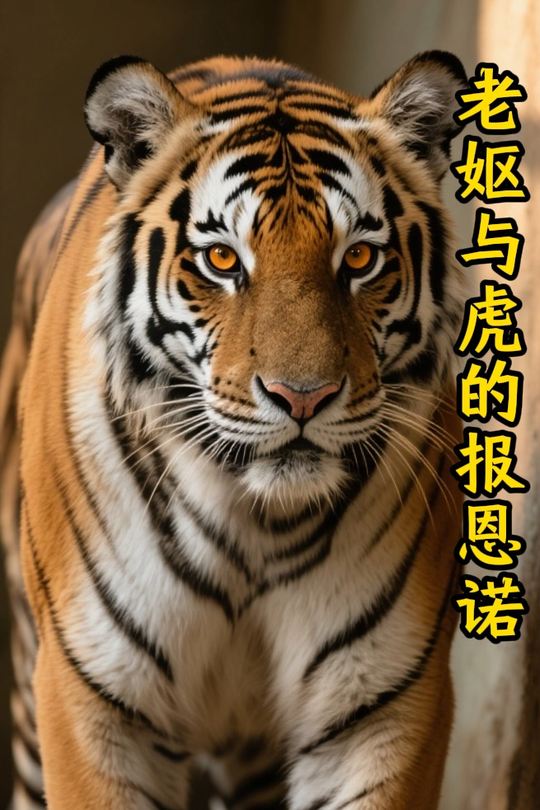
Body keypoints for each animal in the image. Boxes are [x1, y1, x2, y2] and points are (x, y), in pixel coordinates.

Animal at [0, 50, 466, 809]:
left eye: (359, 258)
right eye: (223, 260)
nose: (303, 397)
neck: (256, 524)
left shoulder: (379, 703)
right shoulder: (94, 696)